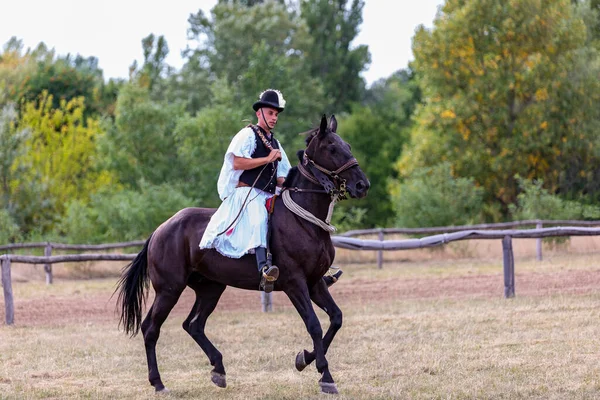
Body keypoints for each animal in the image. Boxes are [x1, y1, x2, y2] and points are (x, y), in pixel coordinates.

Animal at [116, 114, 370, 396]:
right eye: (332, 148)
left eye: (348, 145)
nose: (362, 185)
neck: (304, 220)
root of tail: (160, 230)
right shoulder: (295, 284)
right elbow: (314, 324)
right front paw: (325, 375)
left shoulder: (315, 283)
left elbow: (335, 319)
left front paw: (304, 358)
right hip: (169, 290)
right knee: (151, 328)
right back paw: (159, 383)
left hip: (210, 288)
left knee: (193, 325)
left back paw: (218, 369)